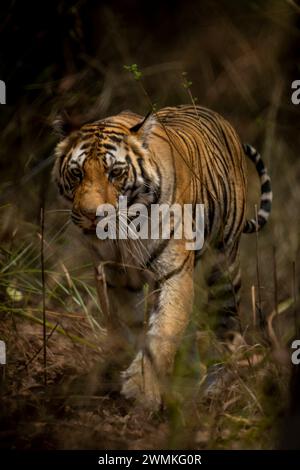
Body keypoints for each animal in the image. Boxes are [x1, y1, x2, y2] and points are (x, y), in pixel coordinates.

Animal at [51, 105, 272, 408]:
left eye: (115, 172)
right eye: (76, 173)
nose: (91, 214)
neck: (125, 234)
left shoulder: (174, 273)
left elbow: (164, 330)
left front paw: (142, 389)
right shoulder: (115, 275)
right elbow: (128, 326)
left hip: (223, 265)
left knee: (228, 325)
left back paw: (216, 383)